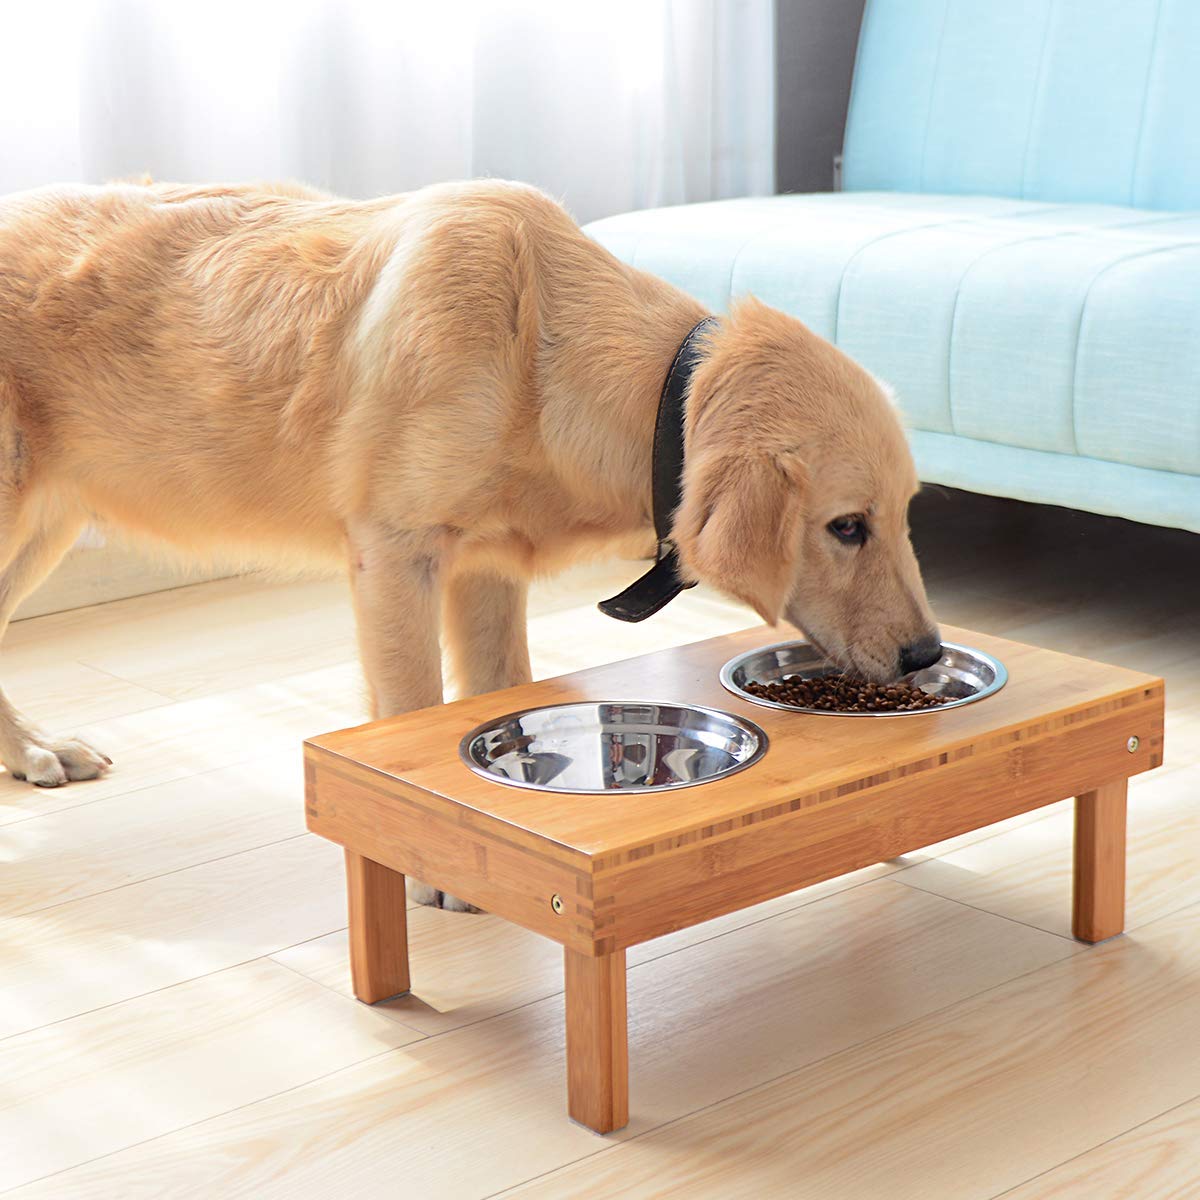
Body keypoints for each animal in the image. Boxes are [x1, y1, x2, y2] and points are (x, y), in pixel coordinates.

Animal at [0, 180, 936, 902]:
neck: (535, 349)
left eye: (906, 513)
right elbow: (412, 710)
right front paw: (424, 872)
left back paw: (34, 751)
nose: (927, 655)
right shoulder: (395, 556)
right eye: (846, 527)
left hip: (41, 529)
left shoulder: (486, 573)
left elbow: (498, 696)